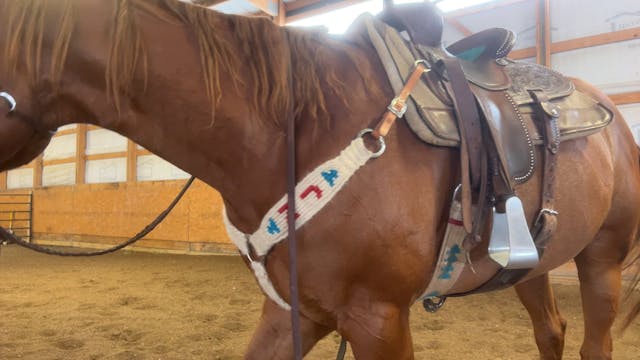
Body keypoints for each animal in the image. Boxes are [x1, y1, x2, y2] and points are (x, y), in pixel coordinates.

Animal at [1, 1, 640, 358]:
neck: (295, 131)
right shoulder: (296, 311)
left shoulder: (379, 319)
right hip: (531, 262)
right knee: (552, 331)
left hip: (602, 259)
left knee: (596, 342)